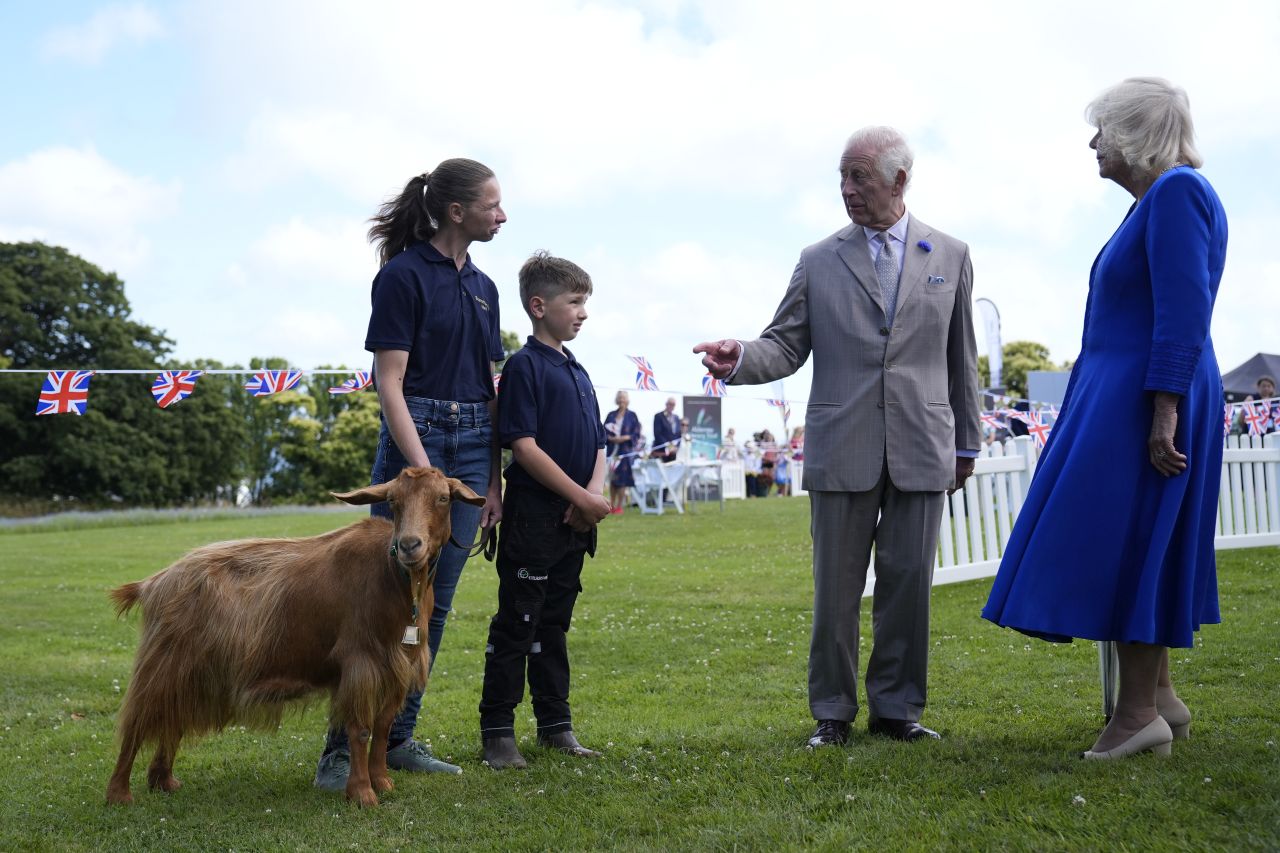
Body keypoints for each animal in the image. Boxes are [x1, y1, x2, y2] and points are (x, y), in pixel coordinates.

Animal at [104, 466, 481, 804]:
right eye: (393, 500)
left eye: (443, 498)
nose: (409, 545)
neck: (393, 578)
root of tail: (154, 583)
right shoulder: (360, 663)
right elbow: (360, 729)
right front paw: (362, 794)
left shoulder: (400, 666)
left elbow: (384, 726)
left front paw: (383, 783)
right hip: (163, 663)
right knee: (137, 723)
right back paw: (120, 794)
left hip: (192, 672)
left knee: (173, 719)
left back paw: (163, 781)